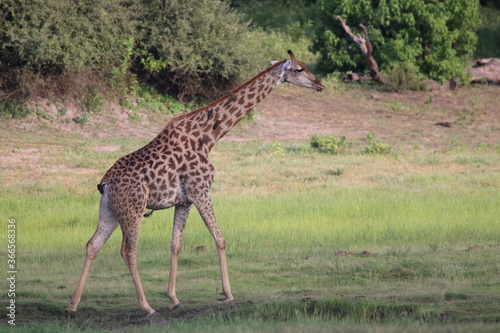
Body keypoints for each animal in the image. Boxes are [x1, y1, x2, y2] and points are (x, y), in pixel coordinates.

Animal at [68, 50, 324, 316]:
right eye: (299, 69)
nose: (320, 84)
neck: (208, 137)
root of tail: (104, 183)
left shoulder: (184, 201)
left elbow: (175, 245)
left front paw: (174, 298)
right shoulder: (201, 191)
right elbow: (219, 238)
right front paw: (228, 294)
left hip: (109, 210)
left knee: (92, 244)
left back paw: (73, 305)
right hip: (133, 209)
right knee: (128, 250)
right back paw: (147, 307)